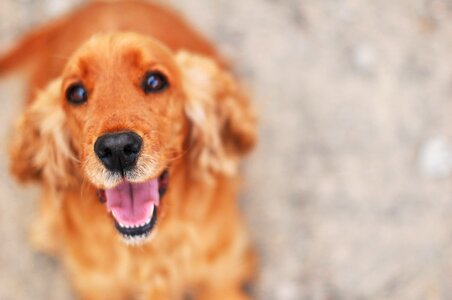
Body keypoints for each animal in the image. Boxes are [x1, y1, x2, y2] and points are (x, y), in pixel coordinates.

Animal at [0, 1, 256, 298]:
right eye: (75, 93)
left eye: (155, 81)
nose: (117, 148)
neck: (147, 250)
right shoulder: (99, 287)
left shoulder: (220, 277)